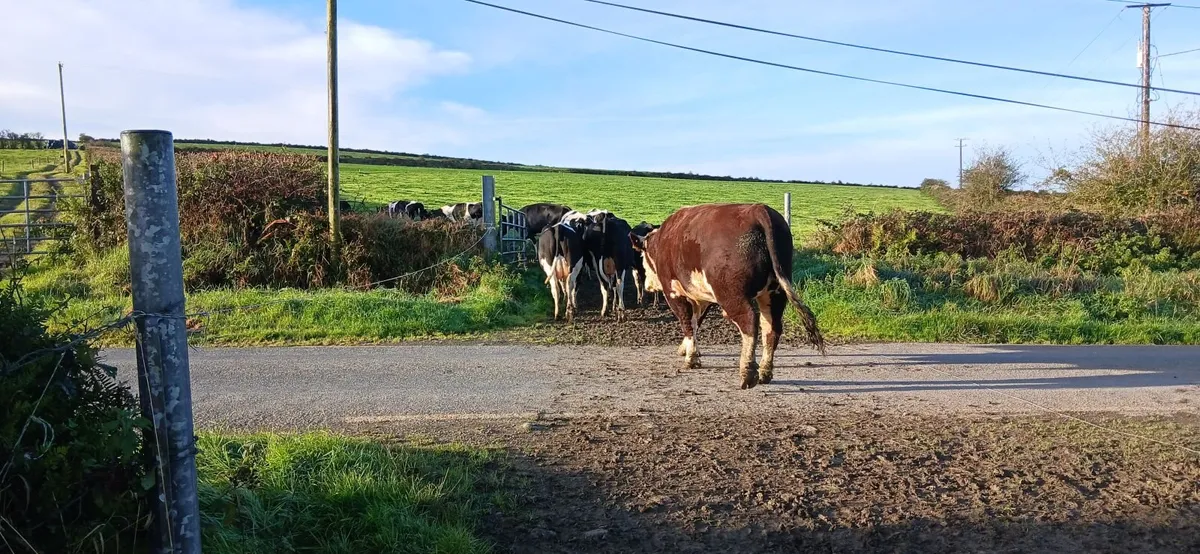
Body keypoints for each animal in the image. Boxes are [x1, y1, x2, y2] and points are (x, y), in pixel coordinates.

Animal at [629, 203, 825, 390]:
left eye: (643, 257)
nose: (648, 285)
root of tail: (758, 210)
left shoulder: (674, 293)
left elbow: (687, 322)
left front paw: (691, 358)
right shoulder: (701, 297)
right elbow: (696, 322)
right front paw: (686, 349)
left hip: (732, 294)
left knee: (749, 321)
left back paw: (747, 372)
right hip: (775, 292)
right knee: (771, 327)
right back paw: (765, 372)